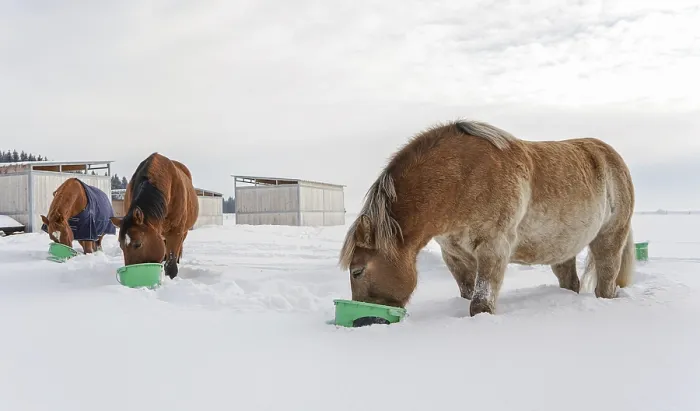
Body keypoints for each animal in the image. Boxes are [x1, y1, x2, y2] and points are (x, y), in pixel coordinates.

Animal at [339, 119, 635, 319]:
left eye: (357, 271)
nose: (366, 319)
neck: (462, 180)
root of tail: (611, 157)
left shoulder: (494, 248)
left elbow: (480, 304)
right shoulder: (455, 256)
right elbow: (467, 293)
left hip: (609, 239)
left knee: (606, 282)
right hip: (562, 248)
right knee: (570, 282)